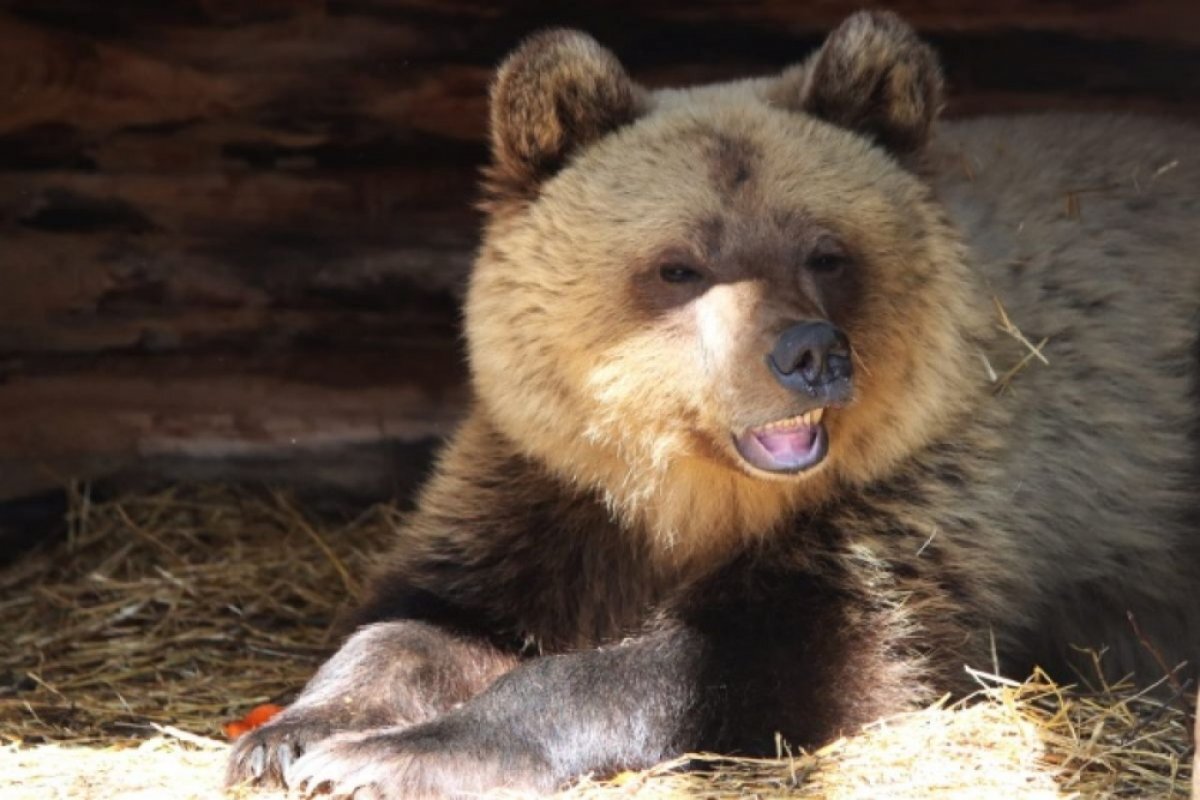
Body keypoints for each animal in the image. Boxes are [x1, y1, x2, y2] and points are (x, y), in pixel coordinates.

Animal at [225, 9, 1200, 796]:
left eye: (826, 252)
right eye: (680, 264)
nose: (809, 354)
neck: (689, 494)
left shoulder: (913, 507)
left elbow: (745, 656)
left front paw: (392, 757)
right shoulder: (545, 486)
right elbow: (426, 615)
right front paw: (291, 737)